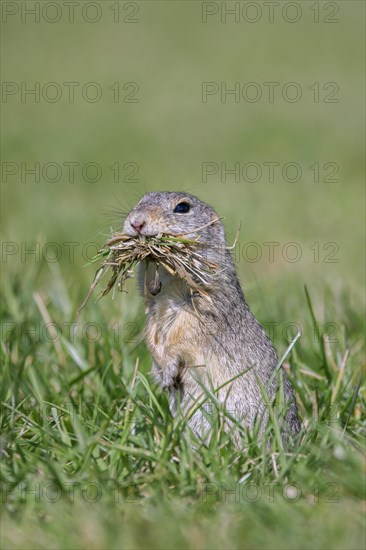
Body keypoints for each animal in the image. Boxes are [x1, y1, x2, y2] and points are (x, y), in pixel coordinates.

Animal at [123, 192, 300, 446]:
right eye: (140, 200)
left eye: (182, 208)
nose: (136, 222)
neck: (167, 281)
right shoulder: (153, 310)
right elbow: (151, 335)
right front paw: (163, 373)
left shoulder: (203, 308)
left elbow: (183, 336)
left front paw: (169, 371)